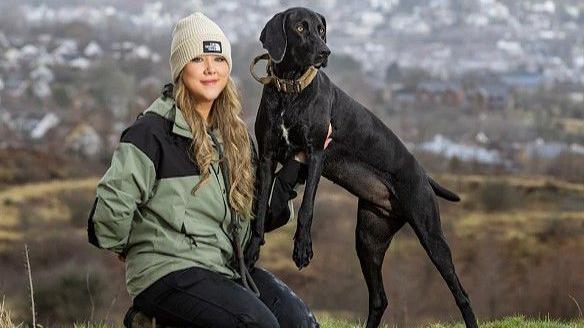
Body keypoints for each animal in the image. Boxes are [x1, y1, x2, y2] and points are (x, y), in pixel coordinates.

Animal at [246, 7, 480, 328]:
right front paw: (252, 249)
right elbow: (259, 211)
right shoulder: (268, 158)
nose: (325, 52)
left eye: (321, 29)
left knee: (462, 293)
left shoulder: (315, 153)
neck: (290, 90)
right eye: (300, 28)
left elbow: (306, 208)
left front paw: (302, 248)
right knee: (380, 299)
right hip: (368, 240)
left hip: (431, 234)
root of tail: (423, 175)